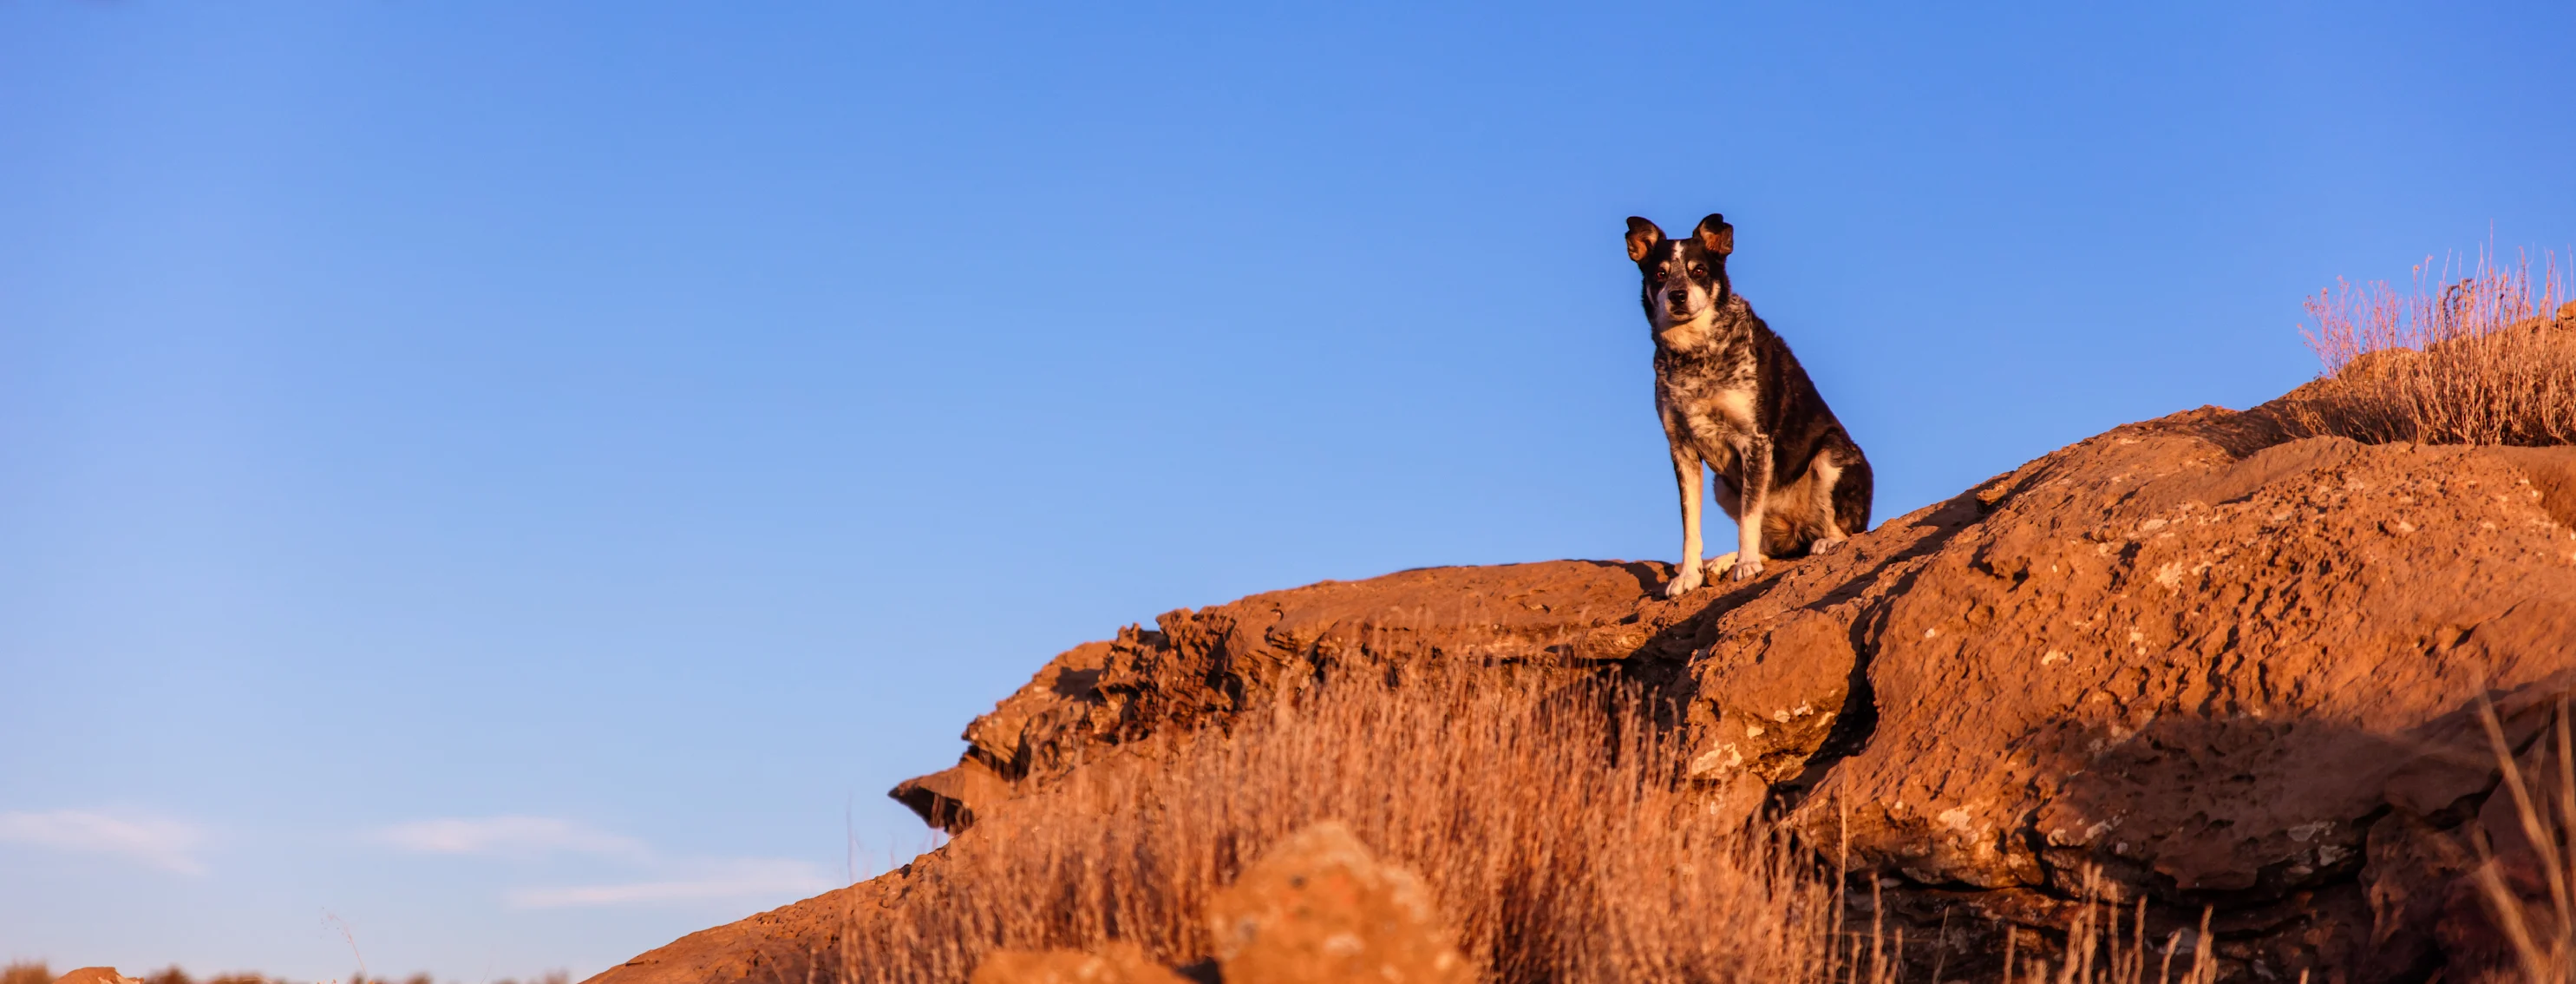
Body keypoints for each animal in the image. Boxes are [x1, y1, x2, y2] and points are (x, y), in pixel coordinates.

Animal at [1628, 212, 1875, 594]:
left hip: (1830, 456)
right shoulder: (1682, 450)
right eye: (1661, 273)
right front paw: (1688, 576)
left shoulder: (1754, 441)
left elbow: (1749, 516)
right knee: (1771, 545)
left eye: (1699, 270)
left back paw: (1823, 543)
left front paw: (1745, 566)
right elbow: (1690, 527)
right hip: (1722, 486)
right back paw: (1726, 559)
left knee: (1844, 532)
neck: (1694, 355)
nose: (1679, 296)